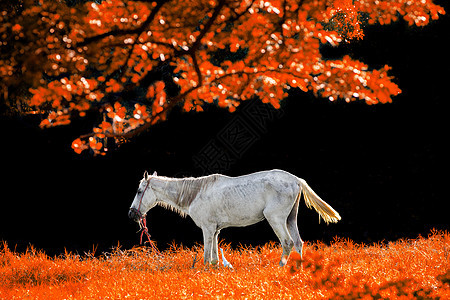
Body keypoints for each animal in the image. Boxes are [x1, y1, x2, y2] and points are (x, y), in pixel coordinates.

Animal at [129, 170, 342, 266]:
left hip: (276, 219)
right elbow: (215, 258)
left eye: (139, 191)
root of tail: (297, 180)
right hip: (290, 218)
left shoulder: (207, 228)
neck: (195, 193)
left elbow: (206, 257)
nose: (132, 214)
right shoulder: (215, 230)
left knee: (287, 242)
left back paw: (281, 267)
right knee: (298, 243)